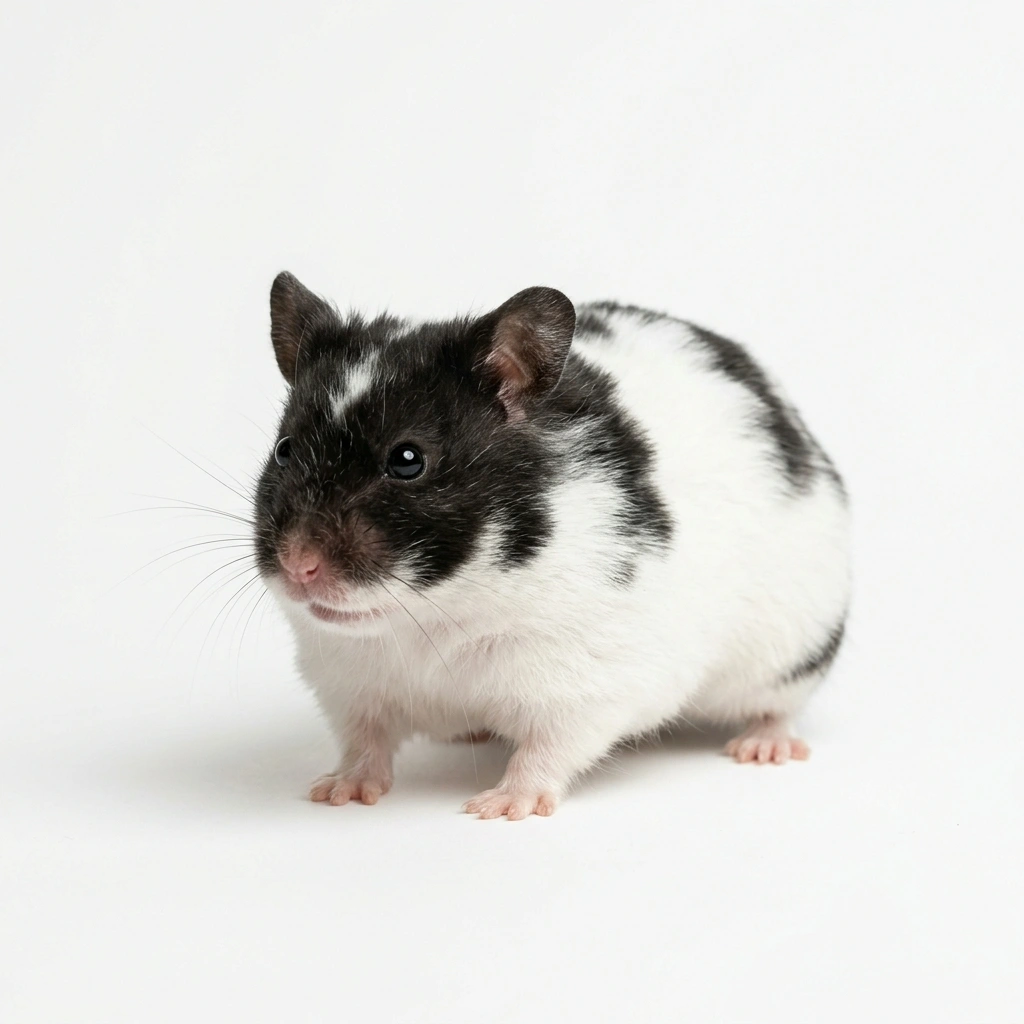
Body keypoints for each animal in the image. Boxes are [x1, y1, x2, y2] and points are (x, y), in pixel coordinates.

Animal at [253, 272, 850, 819]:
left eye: (407, 459)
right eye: (283, 450)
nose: (298, 565)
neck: (434, 614)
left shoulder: (584, 679)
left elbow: (548, 749)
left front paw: (499, 808)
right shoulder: (345, 679)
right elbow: (364, 740)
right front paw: (336, 794)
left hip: (789, 650)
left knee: (777, 706)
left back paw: (762, 748)